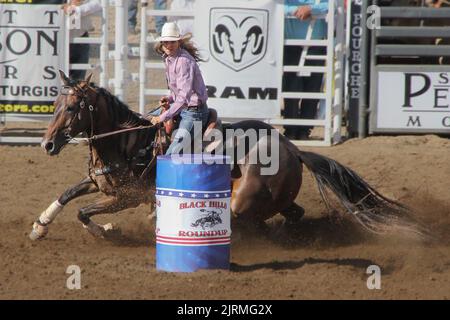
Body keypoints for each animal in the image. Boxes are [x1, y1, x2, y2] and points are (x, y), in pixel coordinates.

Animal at [29, 70, 426, 240]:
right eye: (56, 103)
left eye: (74, 106)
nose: (47, 144)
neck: (130, 142)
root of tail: (294, 149)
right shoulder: (101, 185)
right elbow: (66, 195)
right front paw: (39, 226)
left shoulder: (127, 197)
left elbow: (83, 212)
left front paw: (108, 229)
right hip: (276, 199)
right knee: (292, 214)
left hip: (246, 200)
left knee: (251, 220)